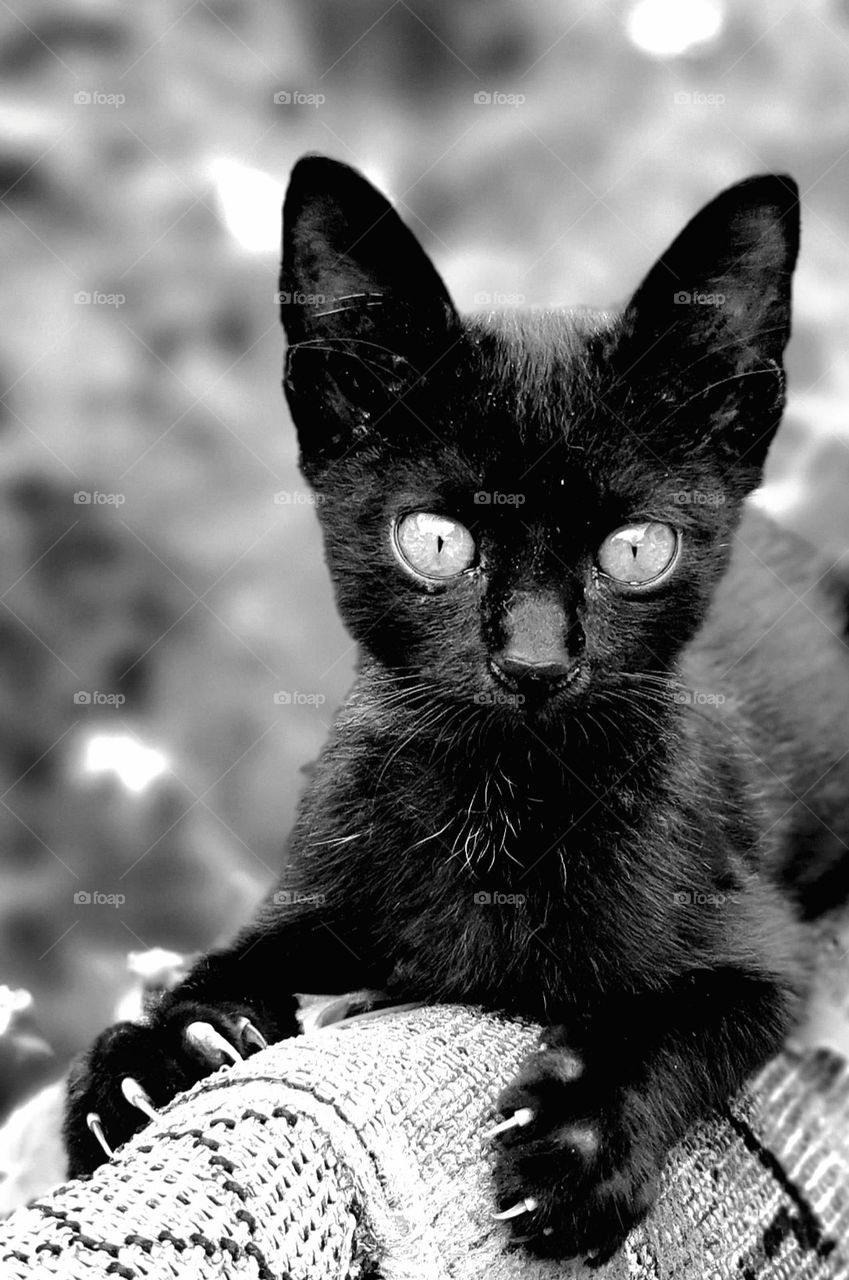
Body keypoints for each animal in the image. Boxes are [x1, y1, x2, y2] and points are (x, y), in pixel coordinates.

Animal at [63, 157, 849, 1259]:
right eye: (435, 541)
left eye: (637, 549)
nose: (533, 661)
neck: (502, 796)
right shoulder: (320, 883)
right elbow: (229, 955)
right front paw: (158, 1051)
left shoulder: (757, 943)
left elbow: (675, 1023)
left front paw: (577, 1143)